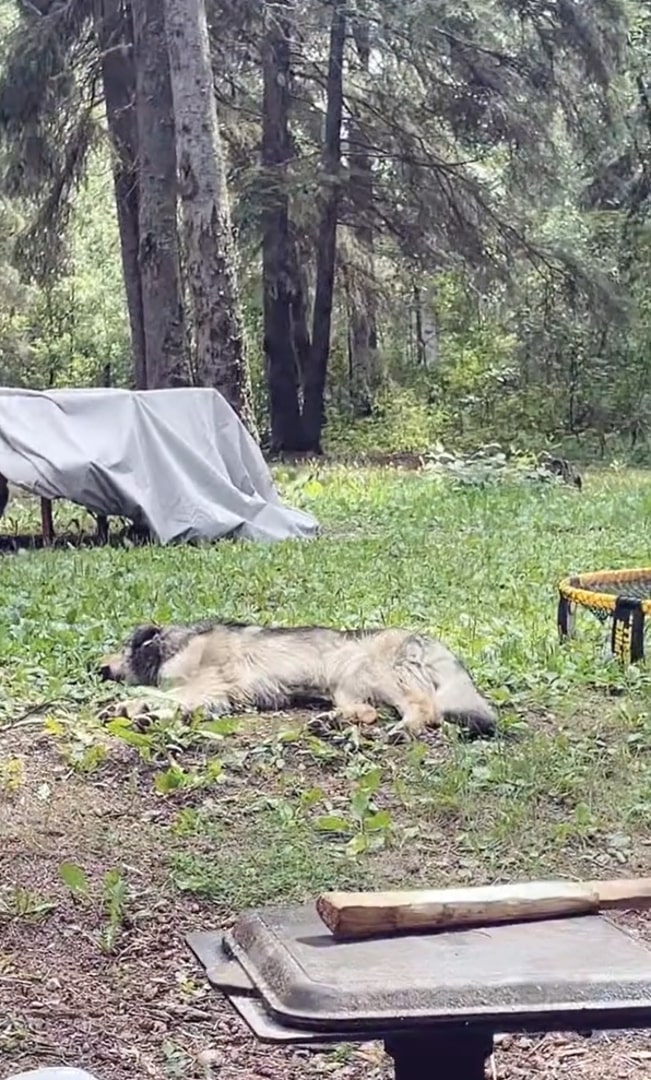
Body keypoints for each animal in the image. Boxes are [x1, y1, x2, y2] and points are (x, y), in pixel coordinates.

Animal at [96, 622, 496, 738]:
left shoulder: (205, 684)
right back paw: (328, 722)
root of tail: (423, 637)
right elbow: (163, 699)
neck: (178, 642)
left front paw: (130, 708)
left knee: (425, 709)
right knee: (367, 713)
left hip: (387, 678)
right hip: (346, 688)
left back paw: (403, 729)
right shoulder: (209, 694)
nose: (98, 668)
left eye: (120, 648)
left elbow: (162, 695)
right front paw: (134, 711)